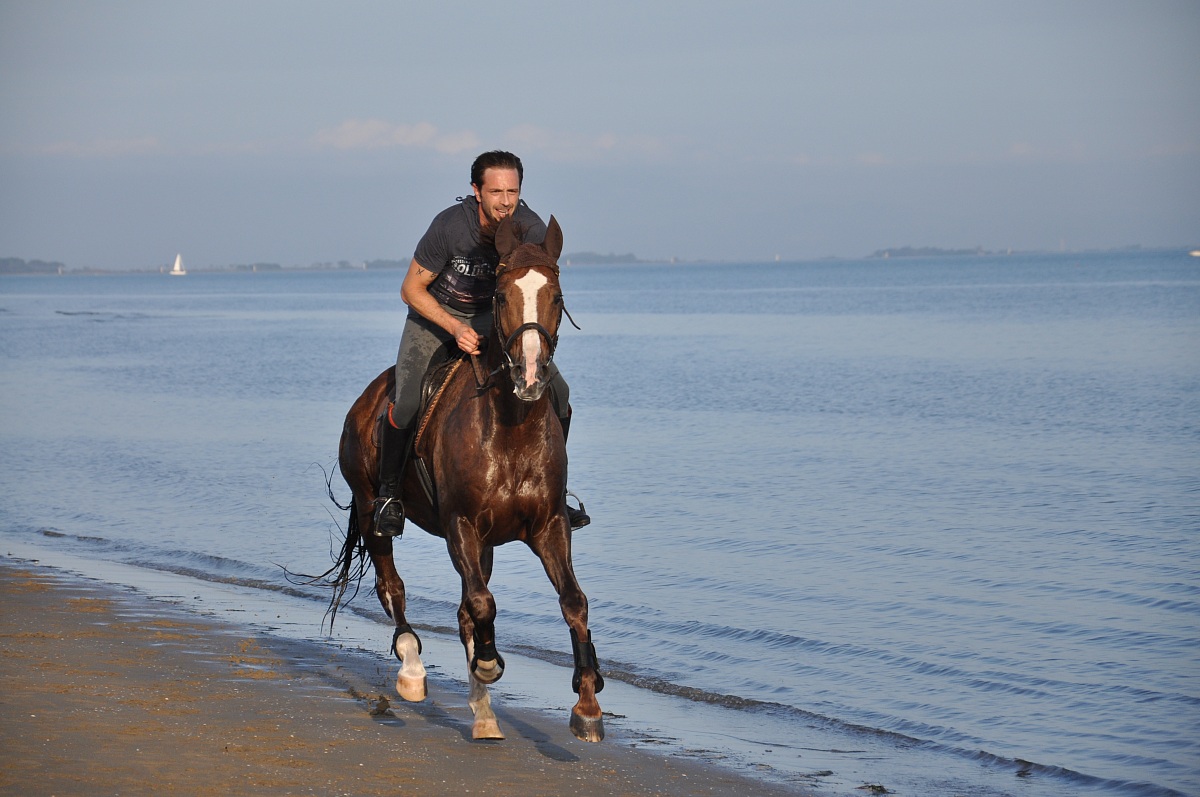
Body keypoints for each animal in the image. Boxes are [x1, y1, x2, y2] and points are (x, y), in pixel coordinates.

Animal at [326, 216, 600, 739]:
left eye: (555, 296)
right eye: (501, 296)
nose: (530, 376)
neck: (512, 426)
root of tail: (364, 402)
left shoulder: (549, 526)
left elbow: (572, 601)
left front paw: (588, 700)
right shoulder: (461, 525)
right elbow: (483, 603)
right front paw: (490, 665)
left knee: (463, 611)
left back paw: (484, 713)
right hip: (372, 510)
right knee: (393, 588)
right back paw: (413, 670)